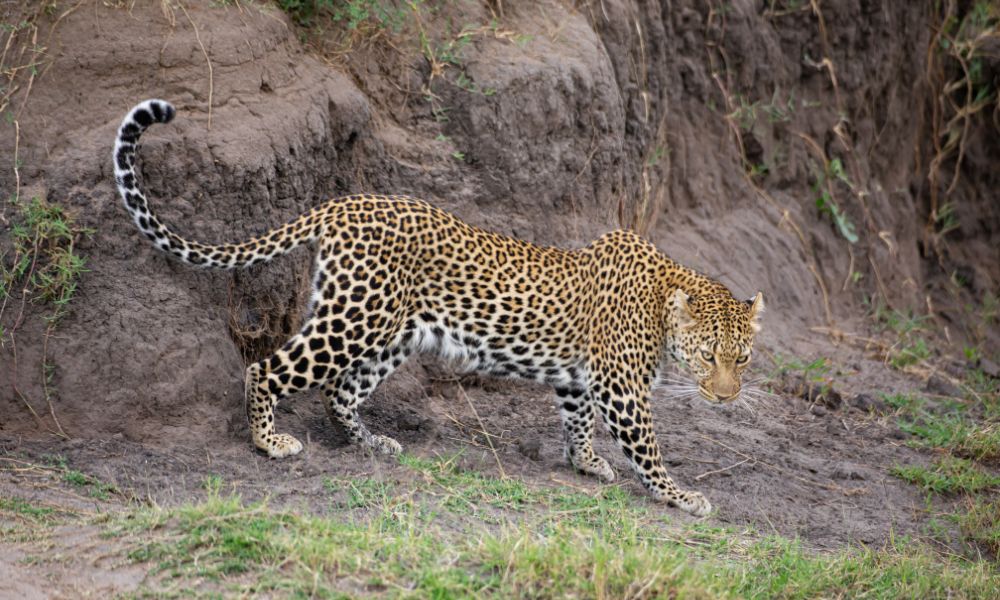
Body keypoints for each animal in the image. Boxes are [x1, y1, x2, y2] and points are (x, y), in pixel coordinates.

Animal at [113, 99, 764, 516]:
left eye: (743, 359)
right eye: (709, 356)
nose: (727, 397)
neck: (663, 300)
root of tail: (345, 204)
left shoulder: (581, 378)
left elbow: (577, 421)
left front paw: (585, 465)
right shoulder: (622, 388)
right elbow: (647, 450)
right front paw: (681, 497)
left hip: (389, 334)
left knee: (338, 392)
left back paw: (373, 444)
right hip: (352, 321)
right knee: (266, 368)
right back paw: (270, 442)